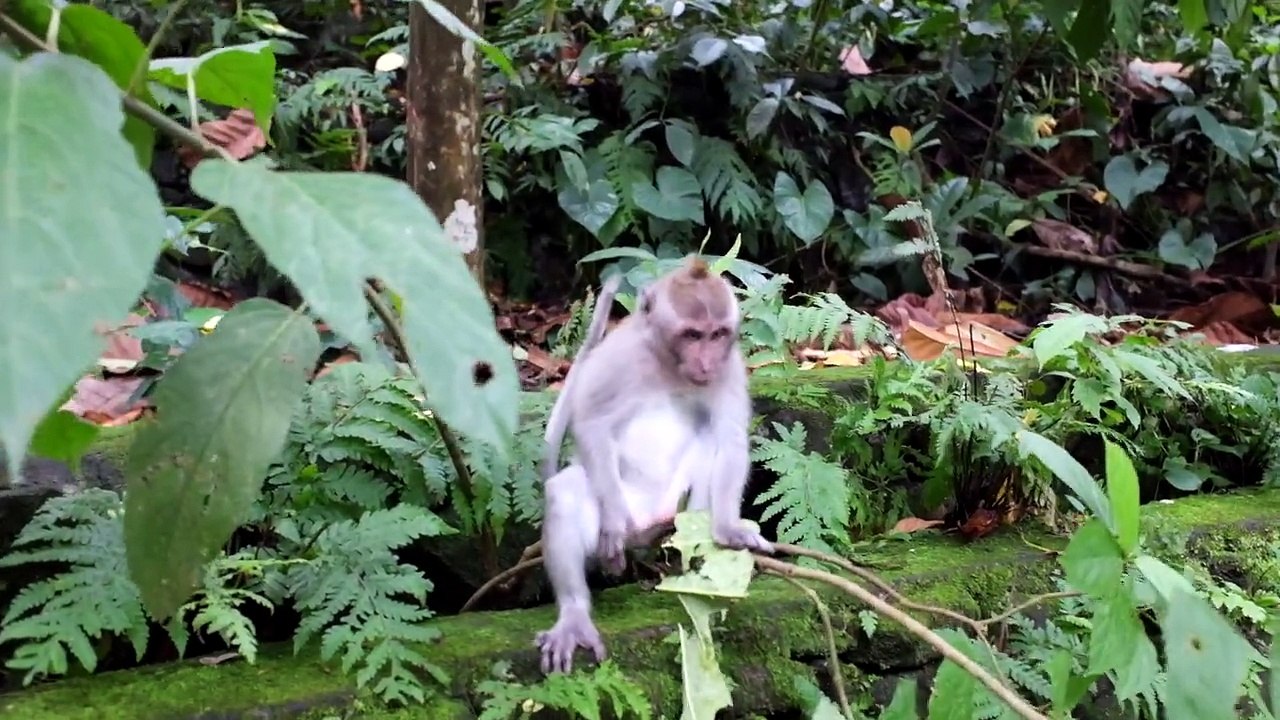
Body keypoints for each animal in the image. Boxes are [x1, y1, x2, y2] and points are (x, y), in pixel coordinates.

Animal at [536, 256, 775, 675]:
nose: (706, 362)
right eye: (693, 335)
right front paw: (614, 525)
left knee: (710, 441)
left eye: (717, 335)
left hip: (674, 506)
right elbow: (592, 423)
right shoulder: (619, 354)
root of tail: (648, 522)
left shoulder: (729, 367)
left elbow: (730, 437)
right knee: (565, 492)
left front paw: (728, 529)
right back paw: (575, 615)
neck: (668, 366)